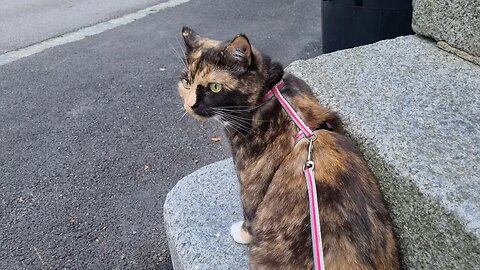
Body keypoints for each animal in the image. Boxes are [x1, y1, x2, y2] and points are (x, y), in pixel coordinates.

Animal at [178, 25, 400, 270]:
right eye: (186, 82)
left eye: (214, 87)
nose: (191, 105)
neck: (269, 93)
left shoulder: (252, 180)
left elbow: (249, 212)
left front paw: (242, 233)